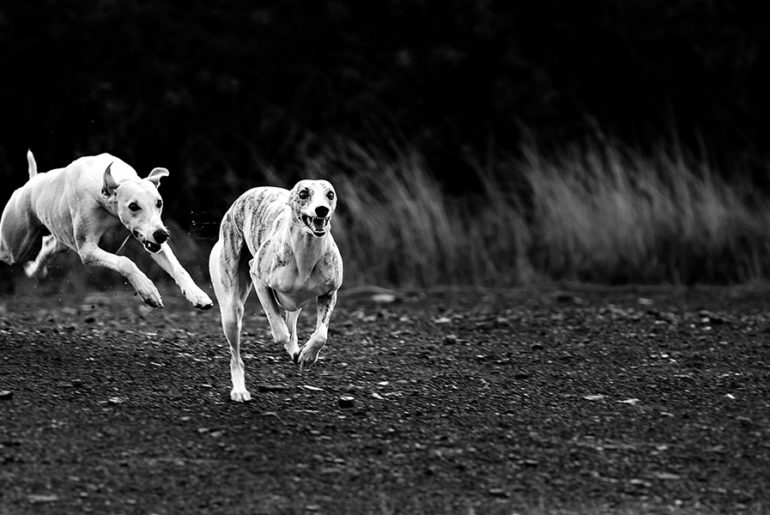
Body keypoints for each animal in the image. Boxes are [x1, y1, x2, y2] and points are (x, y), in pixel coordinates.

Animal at [0, 149, 213, 310]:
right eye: (133, 206)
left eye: (159, 202)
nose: (162, 235)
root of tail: (31, 183)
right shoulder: (87, 251)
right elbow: (126, 262)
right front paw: (148, 291)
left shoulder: (151, 241)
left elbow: (178, 268)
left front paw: (198, 295)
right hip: (13, 247)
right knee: (10, 254)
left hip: (60, 241)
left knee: (46, 246)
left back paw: (34, 270)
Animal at [210, 181, 342, 404]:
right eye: (304, 193)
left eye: (330, 194)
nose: (322, 210)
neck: (306, 253)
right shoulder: (257, 276)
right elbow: (278, 327)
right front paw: (285, 338)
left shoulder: (330, 293)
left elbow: (321, 335)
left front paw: (307, 356)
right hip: (231, 310)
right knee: (236, 356)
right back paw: (239, 390)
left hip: (295, 304)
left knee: (292, 322)